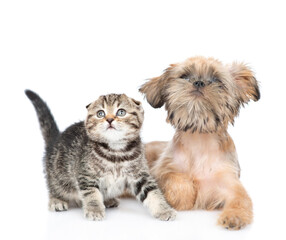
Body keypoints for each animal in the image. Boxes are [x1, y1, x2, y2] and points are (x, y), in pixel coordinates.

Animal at [25, 90, 177, 221]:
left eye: (121, 112)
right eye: (100, 113)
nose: (109, 119)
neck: (116, 152)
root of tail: (55, 141)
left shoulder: (139, 175)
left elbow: (152, 192)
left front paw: (164, 210)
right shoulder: (86, 175)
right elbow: (92, 194)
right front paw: (94, 210)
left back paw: (109, 200)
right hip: (58, 175)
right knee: (54, 187)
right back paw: (56, 200)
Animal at [140, 56, 260, 231]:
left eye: (216, 80)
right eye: (184, 76)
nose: (199, 82)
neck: (199, 139)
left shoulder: (232, 185)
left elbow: (240, 201)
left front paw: (233, 217)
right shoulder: (159, 172)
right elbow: (176, 180)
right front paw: (184, 198)